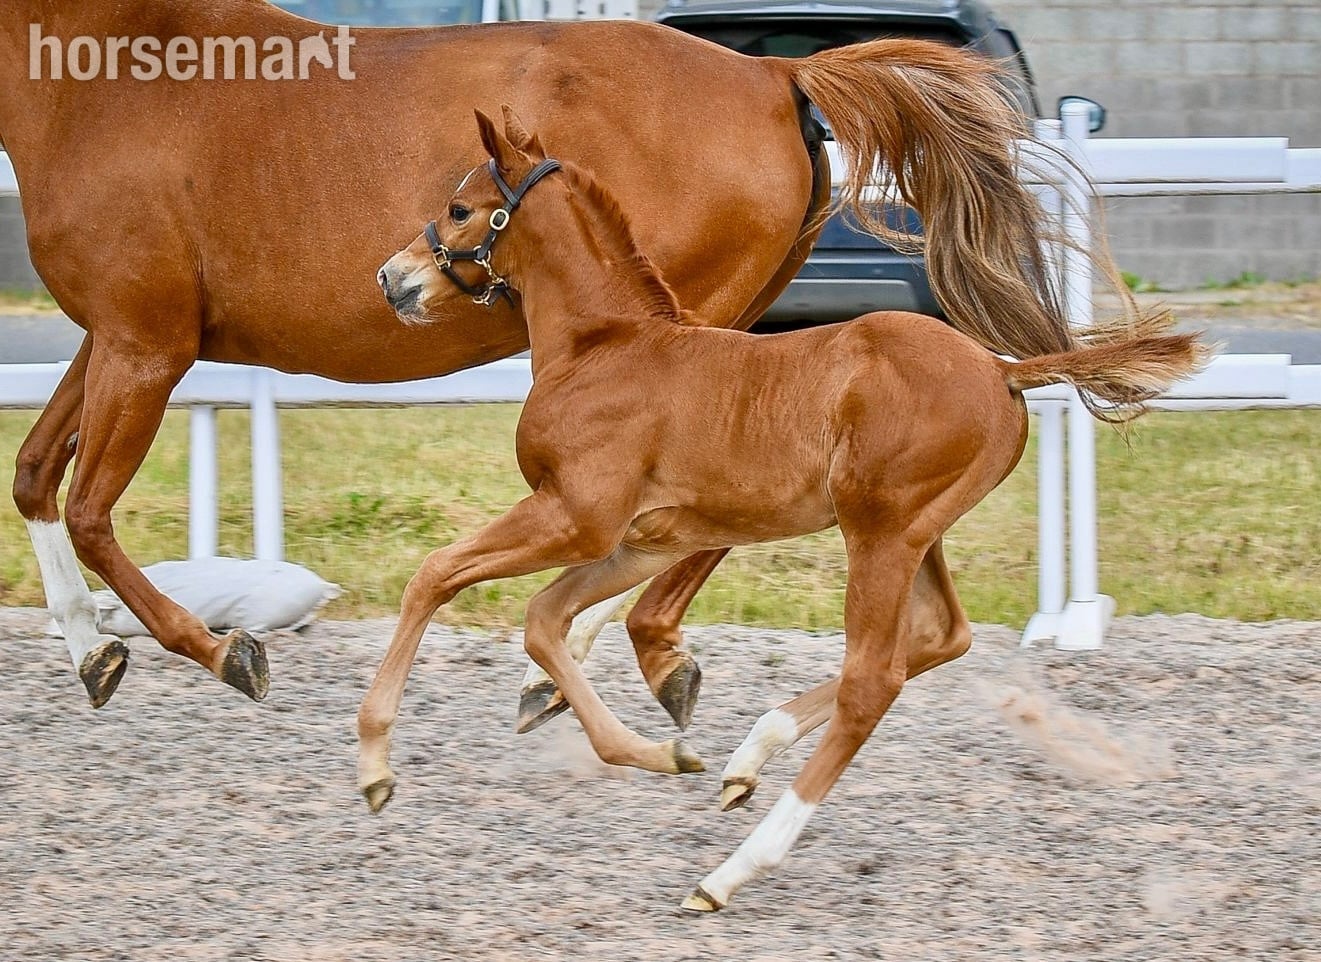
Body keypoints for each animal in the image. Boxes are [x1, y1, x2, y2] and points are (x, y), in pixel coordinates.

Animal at [6, 0, 1120, 713]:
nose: (391, 281)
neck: (107, 75)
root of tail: (772, 72)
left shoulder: (147, 344)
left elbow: (90, 508)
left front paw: (219, 650)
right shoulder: (110, 337)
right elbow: (36, 476)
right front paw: (92, 654)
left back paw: (594, 663)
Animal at [357, 108, 1207, 910]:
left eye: (460, 208)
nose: (391, 278)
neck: (605, 349)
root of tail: (1000, 368)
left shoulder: (575, 516)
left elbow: (435, 575)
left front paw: (372, 765)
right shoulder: (643, 541)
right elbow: (543, 621)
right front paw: (659, 751)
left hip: (878, 535)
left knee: (873, 679)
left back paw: (728, 873)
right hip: (915, 534)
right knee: (940, 637)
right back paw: (746, 760)